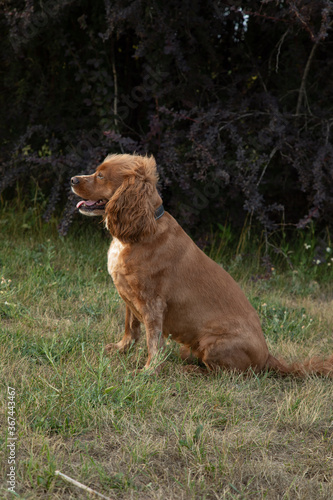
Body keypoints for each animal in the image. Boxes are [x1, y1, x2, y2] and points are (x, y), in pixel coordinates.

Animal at [70, 152, 332, 376]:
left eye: (101, 175)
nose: (72, 179)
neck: (141, 230)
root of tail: (268, 357)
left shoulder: (153, 303)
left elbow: (153, 340)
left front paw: (148, 371)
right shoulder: (129, 298)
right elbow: (131, 328)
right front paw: (120, 349)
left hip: (213, 343)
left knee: (226, 373)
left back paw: (190, 371)